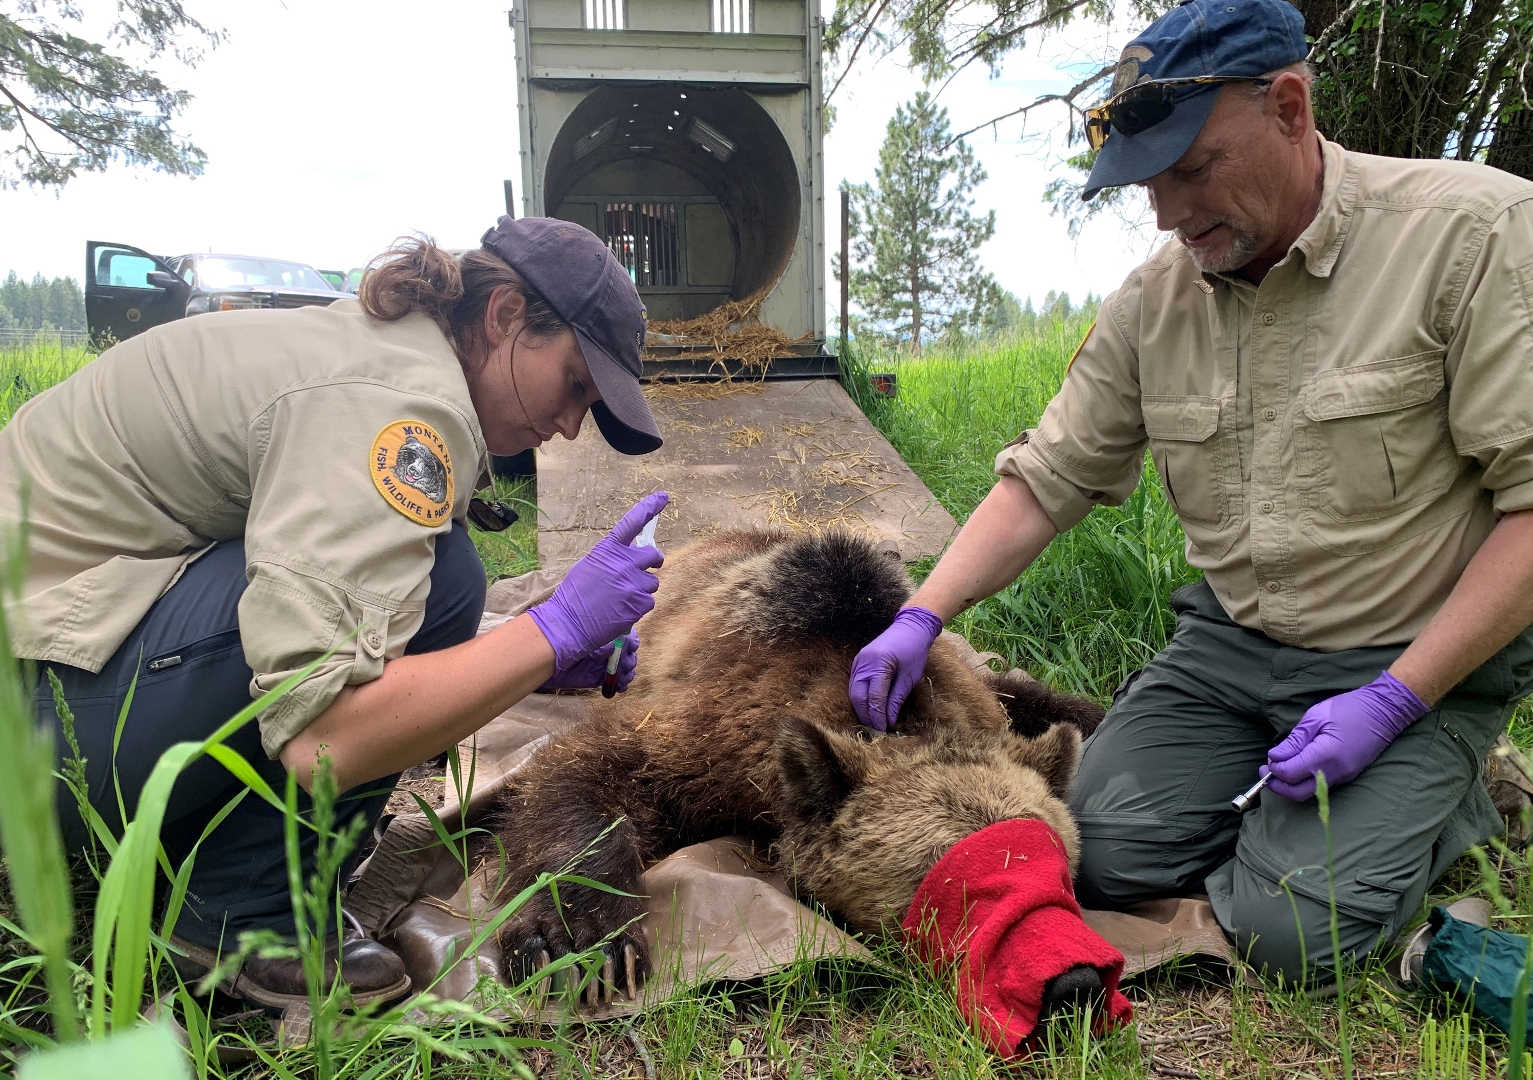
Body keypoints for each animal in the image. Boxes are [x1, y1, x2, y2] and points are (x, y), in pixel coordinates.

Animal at [487, 530, 1103, 1004]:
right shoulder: (710, 732)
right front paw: (580, 944)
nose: (1075, 985)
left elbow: (1027, 694)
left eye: (1058, 872)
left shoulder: (970, 693)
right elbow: (589, 769)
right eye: (956, 890)